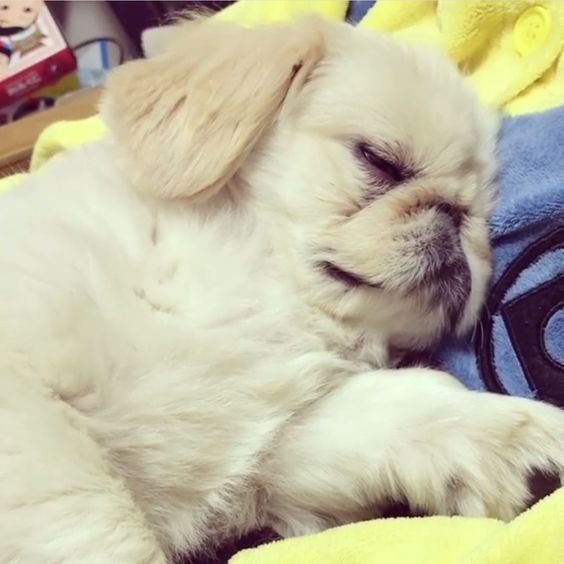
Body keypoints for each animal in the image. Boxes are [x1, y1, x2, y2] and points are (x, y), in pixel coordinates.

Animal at [1, 15, 564, 560]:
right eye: (380, 160)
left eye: (478, 214)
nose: (453, 216)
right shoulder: (34, 424)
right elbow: (106, 531)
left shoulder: (259, 449)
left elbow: (393, 408)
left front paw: (518, 440)